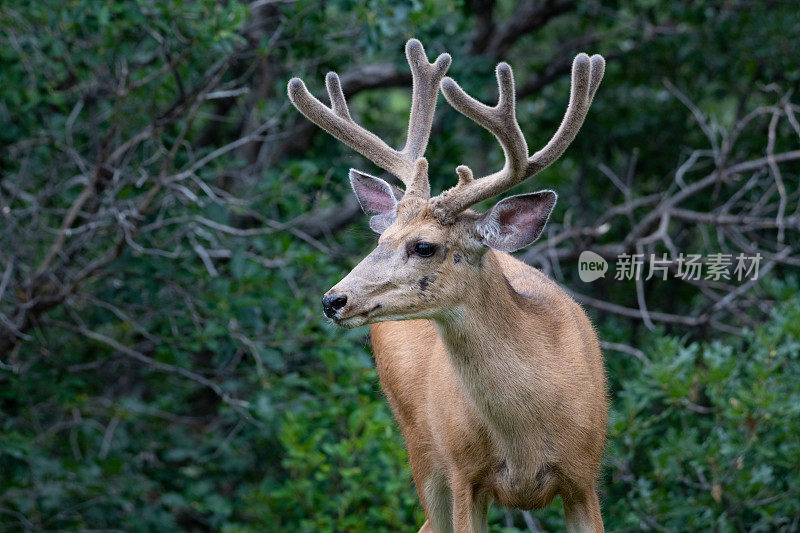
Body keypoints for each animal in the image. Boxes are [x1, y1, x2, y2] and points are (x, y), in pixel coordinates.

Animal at [288, 39, 608, 528]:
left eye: (424, 246)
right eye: (380, 239)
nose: (333, 299)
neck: (526, 438)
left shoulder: (584, 478)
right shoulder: (463, 474)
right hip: (420, 446)